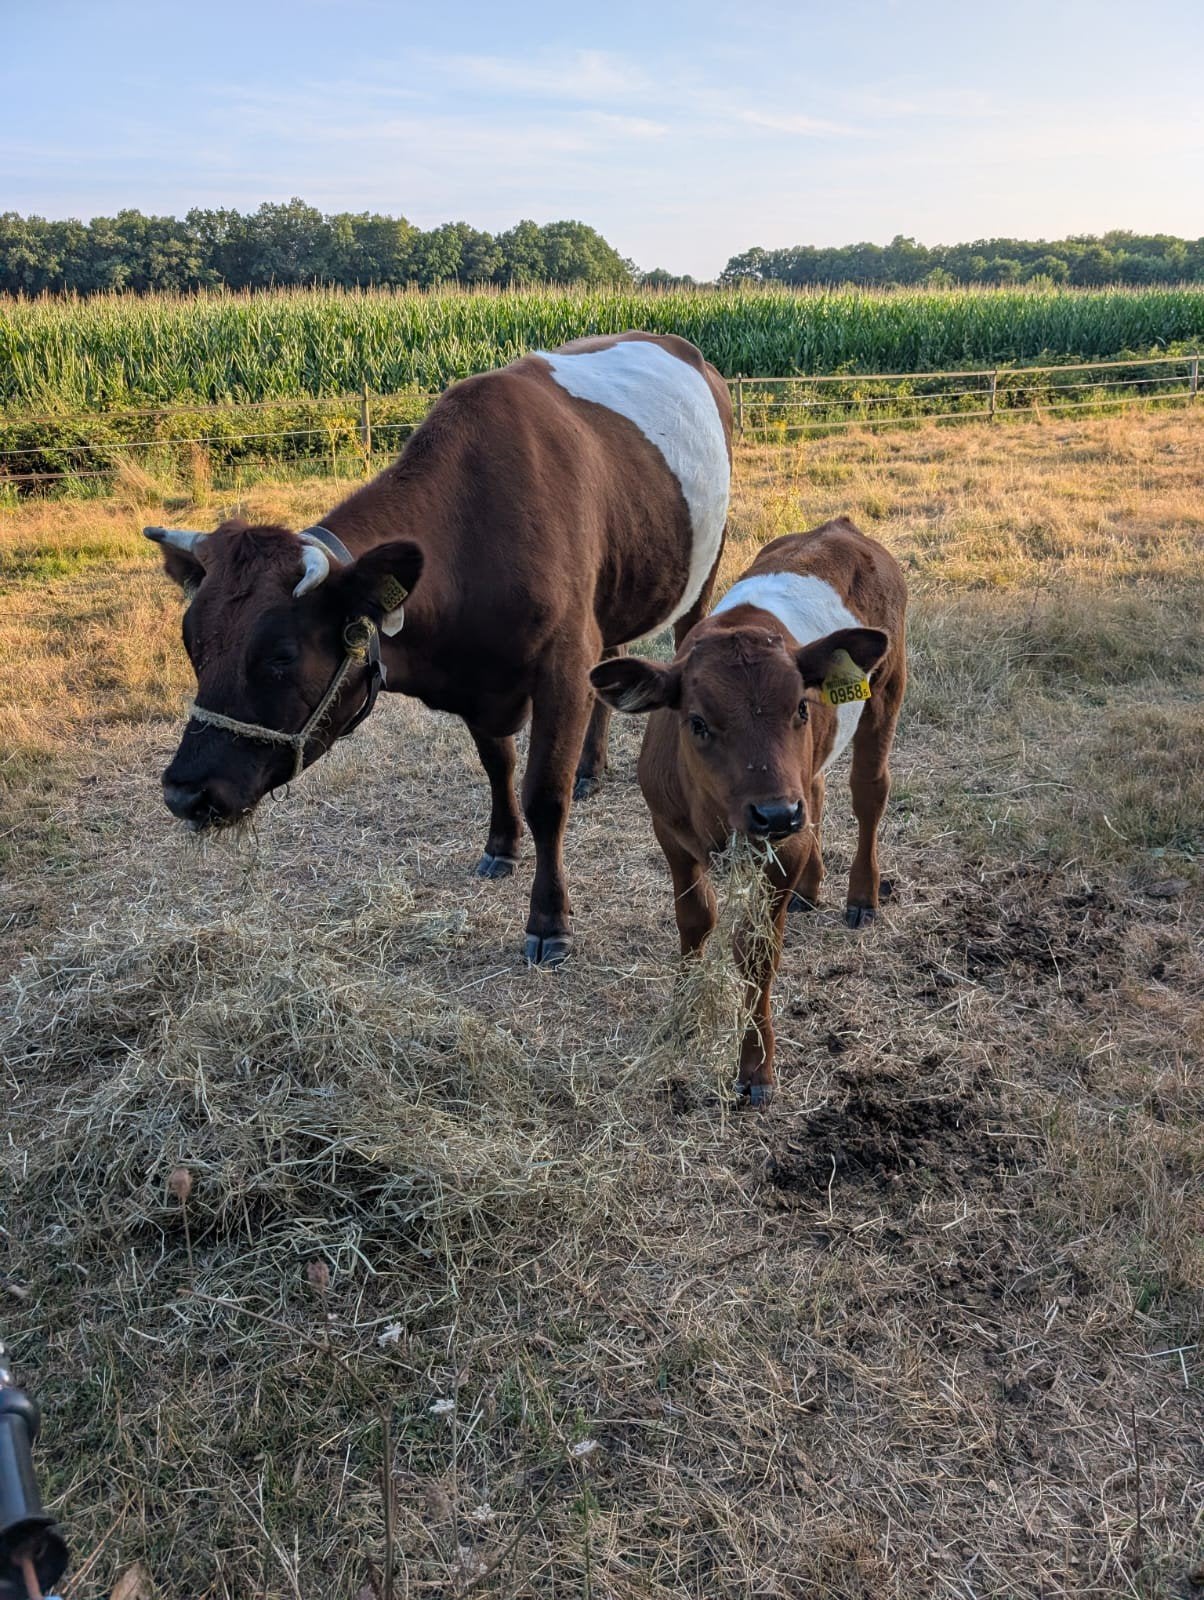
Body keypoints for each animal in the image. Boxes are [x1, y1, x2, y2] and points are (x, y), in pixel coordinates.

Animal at [145, 332, 732, 965]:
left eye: (281, 655)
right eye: (191, 643)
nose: (184, 791)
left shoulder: (563, 666)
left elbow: (545, 797)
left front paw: (549, 920)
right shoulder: (481, 683)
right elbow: (498, 765)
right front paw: (501, 846)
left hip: (702, 571)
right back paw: (591, 768)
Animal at [590, 517, 907, 1103]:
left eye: (800, 707)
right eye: (697, 722)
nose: (775, 814)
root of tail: (842, 526)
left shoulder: (784, 845)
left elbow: (756, 951)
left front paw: (756, 1064)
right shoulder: (668, 830)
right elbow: (695, 920)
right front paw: (683, 1016)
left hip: (886, 689)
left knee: (867, 790)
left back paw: (861, 894)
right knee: (818, 789)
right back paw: (812, 887)